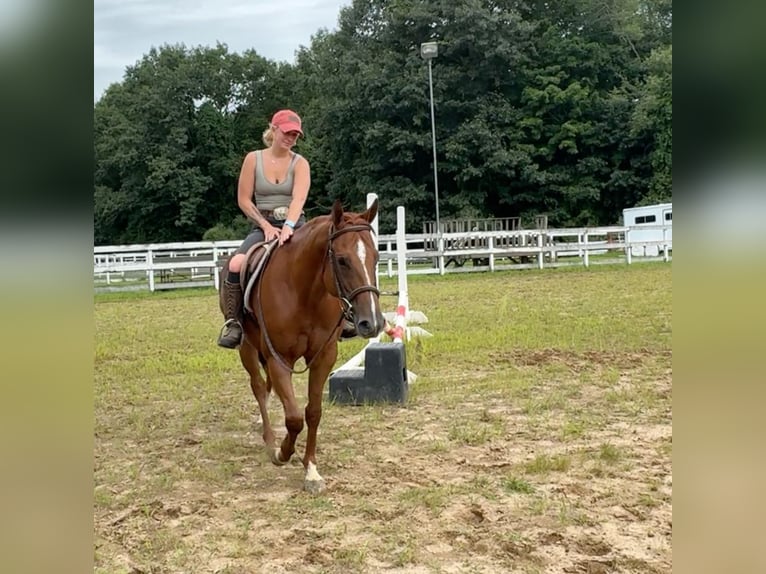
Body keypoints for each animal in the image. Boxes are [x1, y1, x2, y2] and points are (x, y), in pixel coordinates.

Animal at [238, 199, 384, 496]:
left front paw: (311, 470)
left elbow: (313, 413)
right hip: (247, 348)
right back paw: (269, 439)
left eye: (376, 258)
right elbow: (294, 418)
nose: (372, 322)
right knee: (258, 387)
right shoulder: (279, 359)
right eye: (342, 260)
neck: (304, 292)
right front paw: (282, 452)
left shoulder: (324, 357)